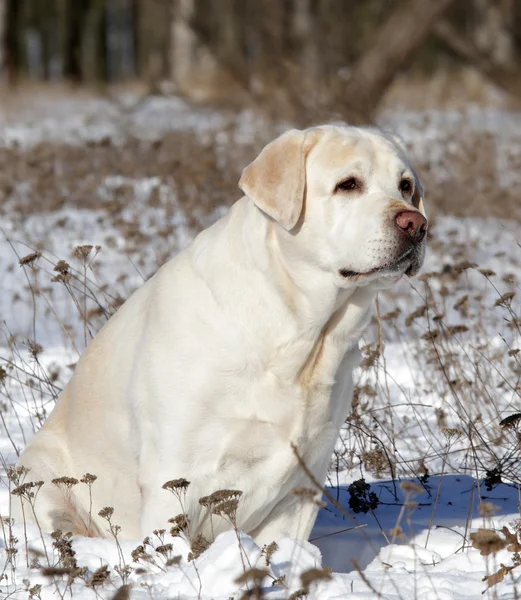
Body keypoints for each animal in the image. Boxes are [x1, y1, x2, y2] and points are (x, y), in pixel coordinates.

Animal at [13, 124, 426, 548]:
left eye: (406, 186)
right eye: (348, 184)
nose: (415, 224)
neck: (303, 334)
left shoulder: (302, 484)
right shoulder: (172, 471)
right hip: (41, 480)